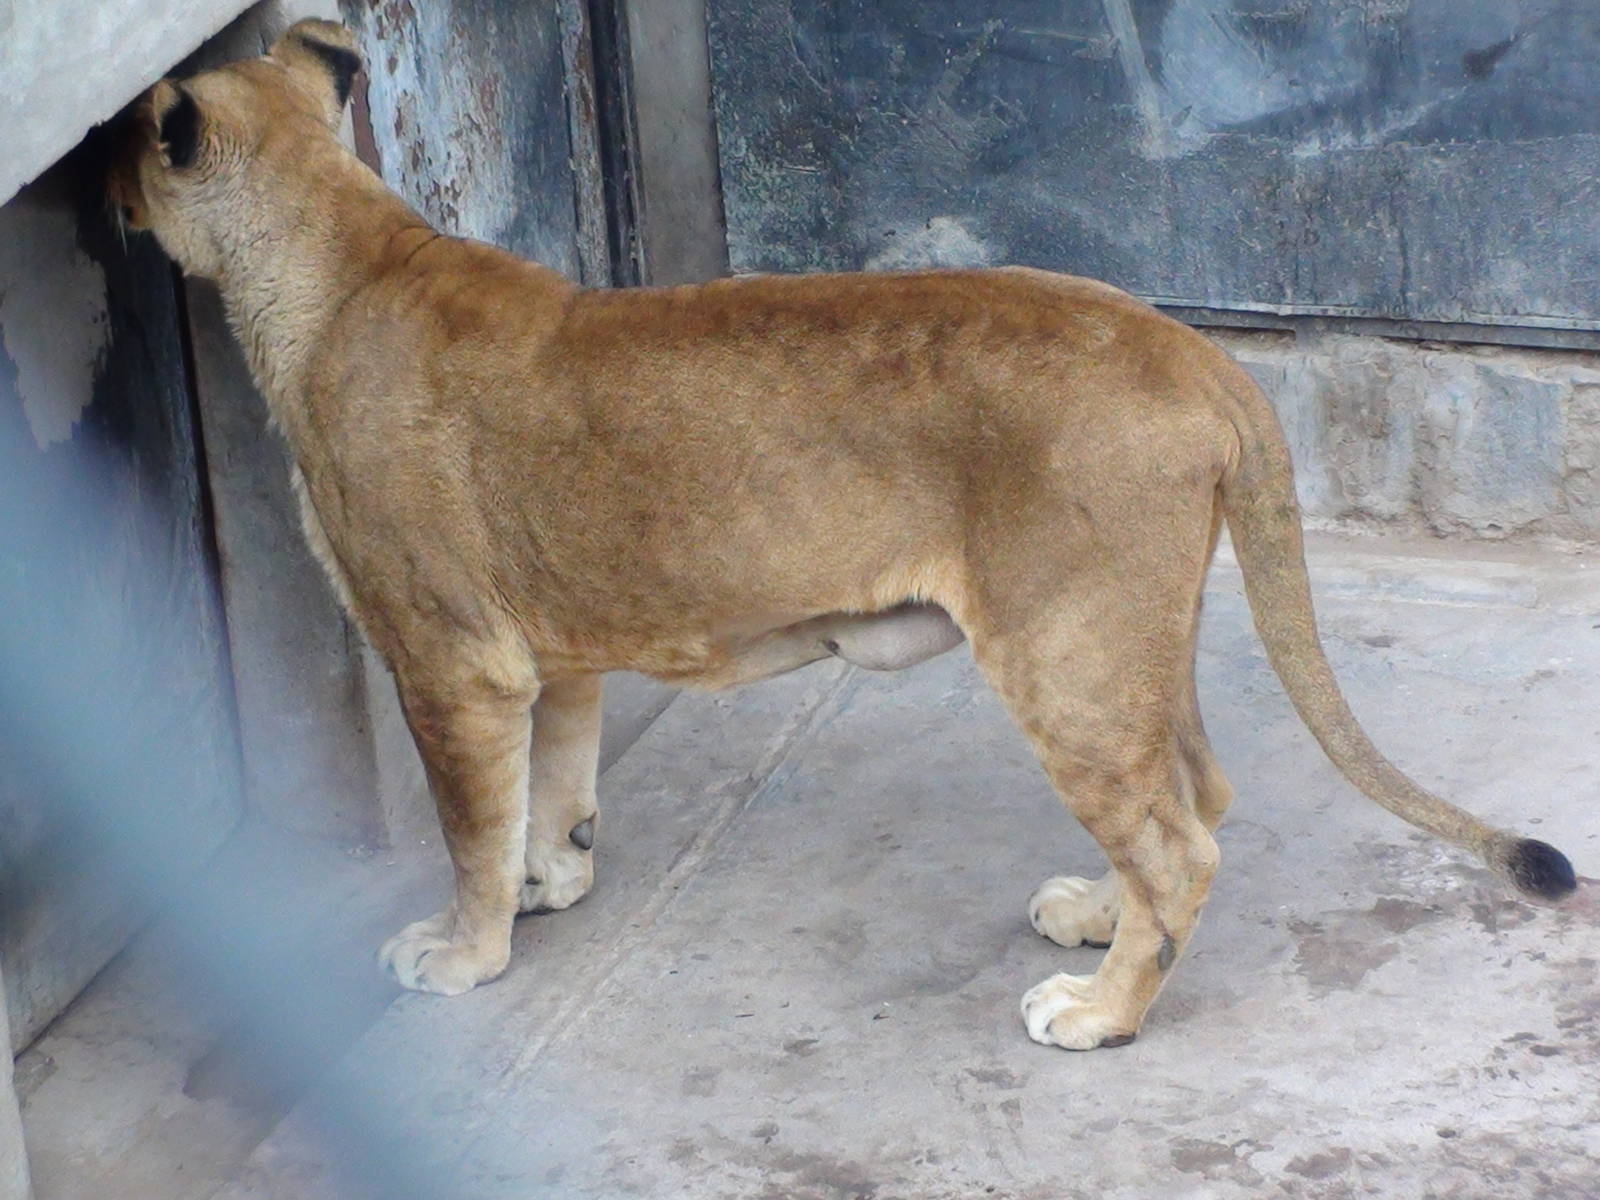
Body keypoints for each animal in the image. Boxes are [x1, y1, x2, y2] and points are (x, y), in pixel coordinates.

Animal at [107, 20, 1575, 1050]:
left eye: (127, 150)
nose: (113, 179)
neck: (331, 253)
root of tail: (1196, 350)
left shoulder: (446, 656)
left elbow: (468, 823)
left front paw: (463, 952)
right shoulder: (543, 646)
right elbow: (553, 779)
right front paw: (552, 882)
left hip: (1064, 647)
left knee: (1181, 841)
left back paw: (1098, 1014)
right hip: (1131, 640)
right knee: (1191, 799)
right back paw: (1095, 921)